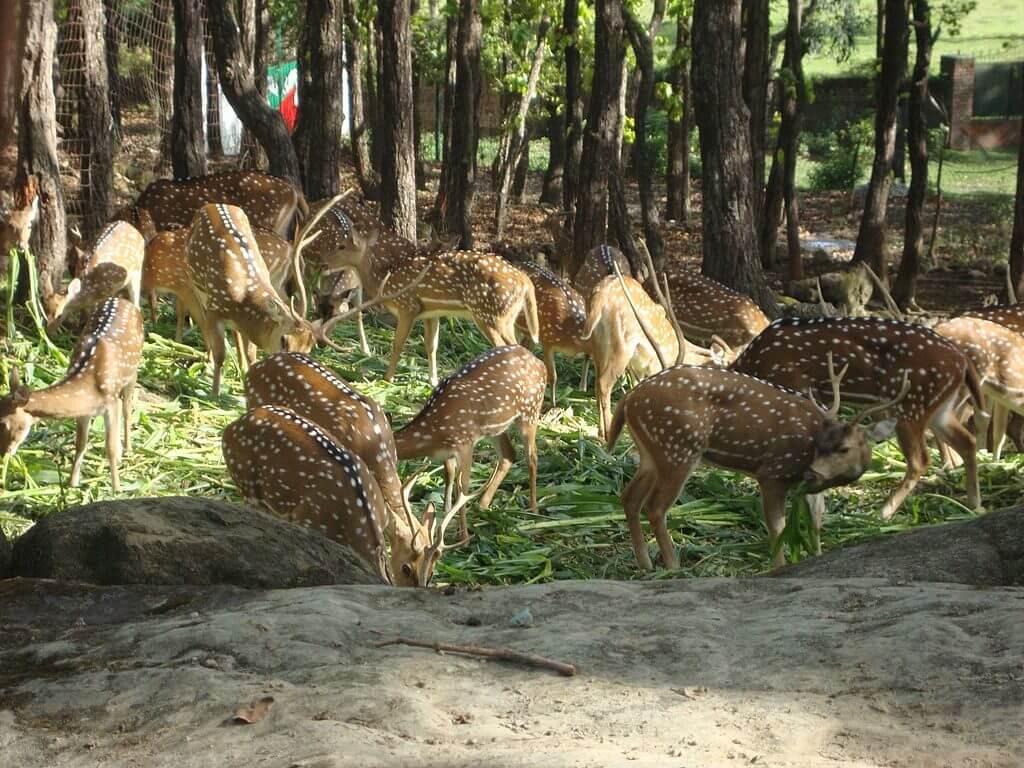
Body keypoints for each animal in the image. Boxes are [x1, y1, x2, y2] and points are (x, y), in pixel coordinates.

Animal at [0, 297, 143, 492]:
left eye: (5, 423)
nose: (4, 452)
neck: (89, 385)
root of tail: (123, 300)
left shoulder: (109, 403)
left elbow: (110, 447)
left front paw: (117, 489)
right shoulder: (85, 411)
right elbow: (80, 443)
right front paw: (72, 483)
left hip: (133, 372)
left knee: (127, 408)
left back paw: (128, 449)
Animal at [393, 345, 547, 539]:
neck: (432, 433)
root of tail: (539, 362)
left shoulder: (464, 442)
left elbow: (463, 487)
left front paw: (464, 536)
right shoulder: (447, 452)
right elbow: (449, 477)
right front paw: (445, 519)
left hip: (530, 411)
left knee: (532, 456)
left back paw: (534, 510)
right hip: (495, 428)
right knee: (508, 455)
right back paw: (482, 505)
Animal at [607, 359, 907, 569]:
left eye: (843, 448)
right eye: (820, 445)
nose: (812, 473)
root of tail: (628, 399)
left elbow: (815, 522)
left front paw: (816, 557)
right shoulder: (773, 471)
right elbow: (777, 526)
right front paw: (779, 566)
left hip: (651, 454)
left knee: (629, 498)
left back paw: (646, 563)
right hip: (678, 447)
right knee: (655, 507)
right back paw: (673, 566)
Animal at [730, 316, 984, 520]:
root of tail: (963, 361)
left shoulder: (794, 383)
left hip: (911, 405)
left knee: (920, 460)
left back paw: (884, 512)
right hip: (940, 408)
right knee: (967, 441)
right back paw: (974, 504)